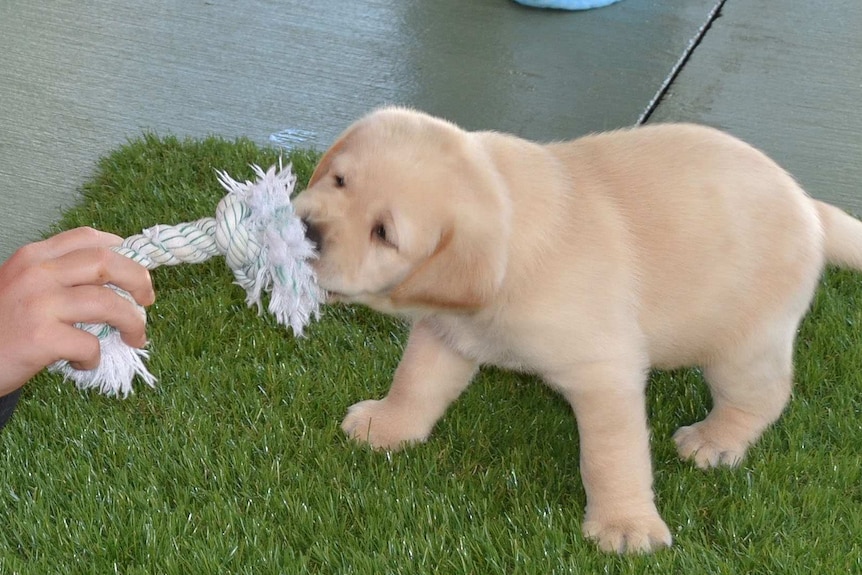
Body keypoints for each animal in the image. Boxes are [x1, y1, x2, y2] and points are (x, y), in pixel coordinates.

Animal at [294, 107, 862, 552]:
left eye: (384, 233)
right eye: (338, 181)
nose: (306, 230)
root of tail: (810, 208)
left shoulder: (603, 374)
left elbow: (611, 457)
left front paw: (626, 526)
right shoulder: (447, 332)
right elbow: (415, 381)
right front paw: (388, 426)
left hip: (742, 344)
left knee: (764, 395)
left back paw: (715, 441)